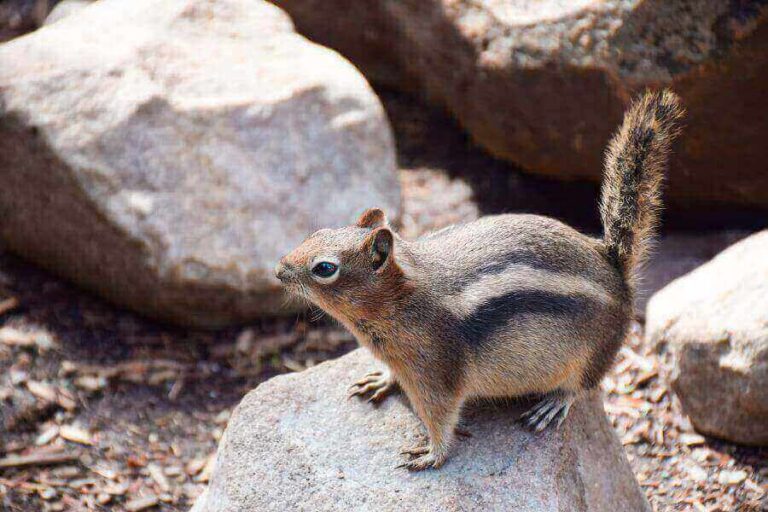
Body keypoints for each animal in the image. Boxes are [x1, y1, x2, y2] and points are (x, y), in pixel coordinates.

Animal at [275, 90, 683, 471]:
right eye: (318, 231)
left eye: (324, 268)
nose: (279, 270)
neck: (400, 299)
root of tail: (614, 268)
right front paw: (382, 379)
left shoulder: (436, 372)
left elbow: (441, 417)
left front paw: (431, 454)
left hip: (593, 353)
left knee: (583, 386)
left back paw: (553, 403)